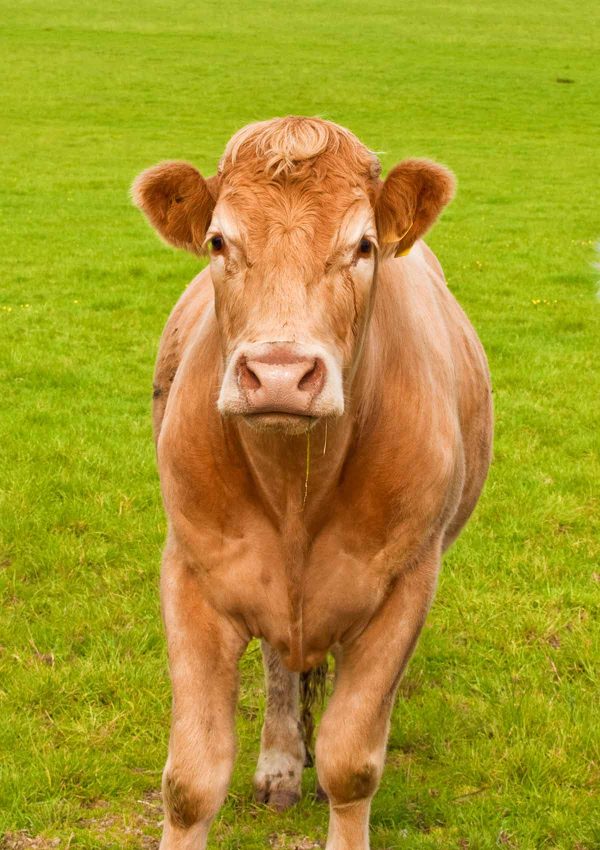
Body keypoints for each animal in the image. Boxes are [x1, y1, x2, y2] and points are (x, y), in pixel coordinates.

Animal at [132, 116, 493, 850]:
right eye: (219, 241)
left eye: (363, 245)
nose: (278, 374)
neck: (298, 490)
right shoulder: (192, 572)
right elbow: (191, 780)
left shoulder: (406, 583)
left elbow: (351, 762)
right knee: (280, 665)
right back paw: (278, 764)